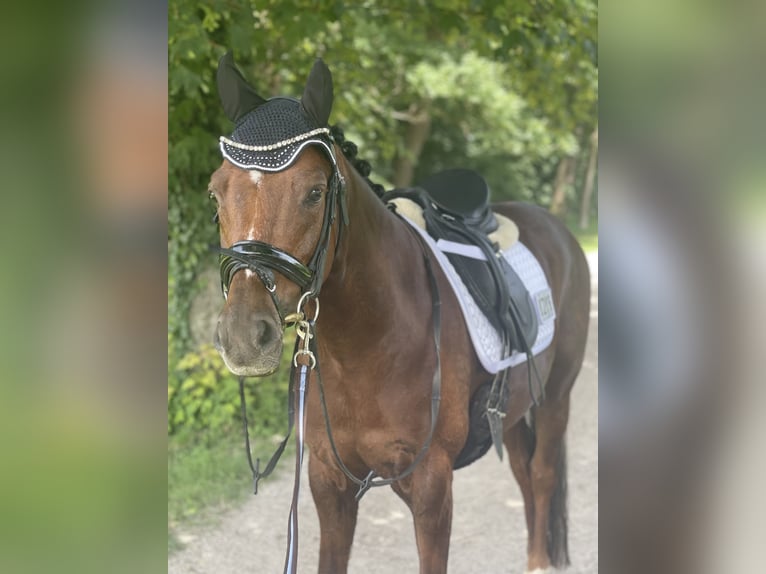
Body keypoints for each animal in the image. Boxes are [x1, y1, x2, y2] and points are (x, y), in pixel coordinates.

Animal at [212, 57, 592, 574]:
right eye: (215, 193)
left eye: (314, 192)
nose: (244, 337)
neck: (371, 344)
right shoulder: (329, 483)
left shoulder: (432, 488)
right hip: (513, 413)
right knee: (525, 477)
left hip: (556, 398)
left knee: (543, 474)